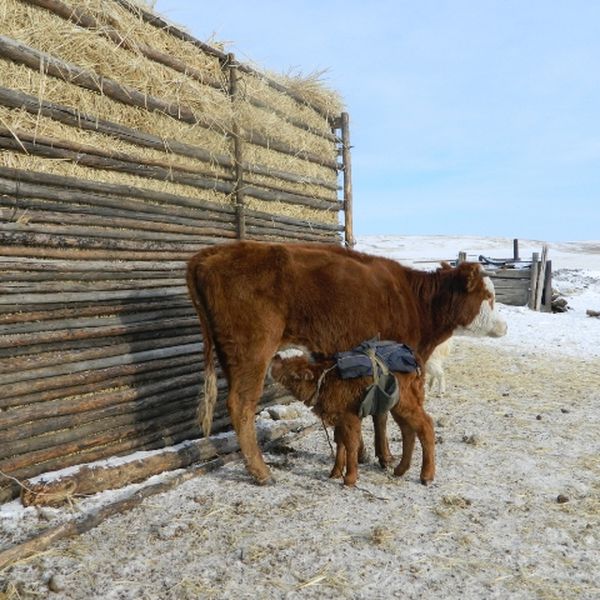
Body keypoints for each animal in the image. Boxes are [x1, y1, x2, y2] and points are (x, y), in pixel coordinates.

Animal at [268, 354, 432, 486]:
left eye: (292, 373)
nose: (275, 358)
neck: (325, 382)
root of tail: (415, 362)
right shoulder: (339, 419)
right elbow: (340, 442)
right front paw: (335, 472)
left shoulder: (350, 418)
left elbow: (351, 444)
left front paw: (350, 478)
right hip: (397, 407)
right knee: (408, 431)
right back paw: (400, 469)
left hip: (405, 403)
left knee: (425, 425)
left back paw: (427, 475)